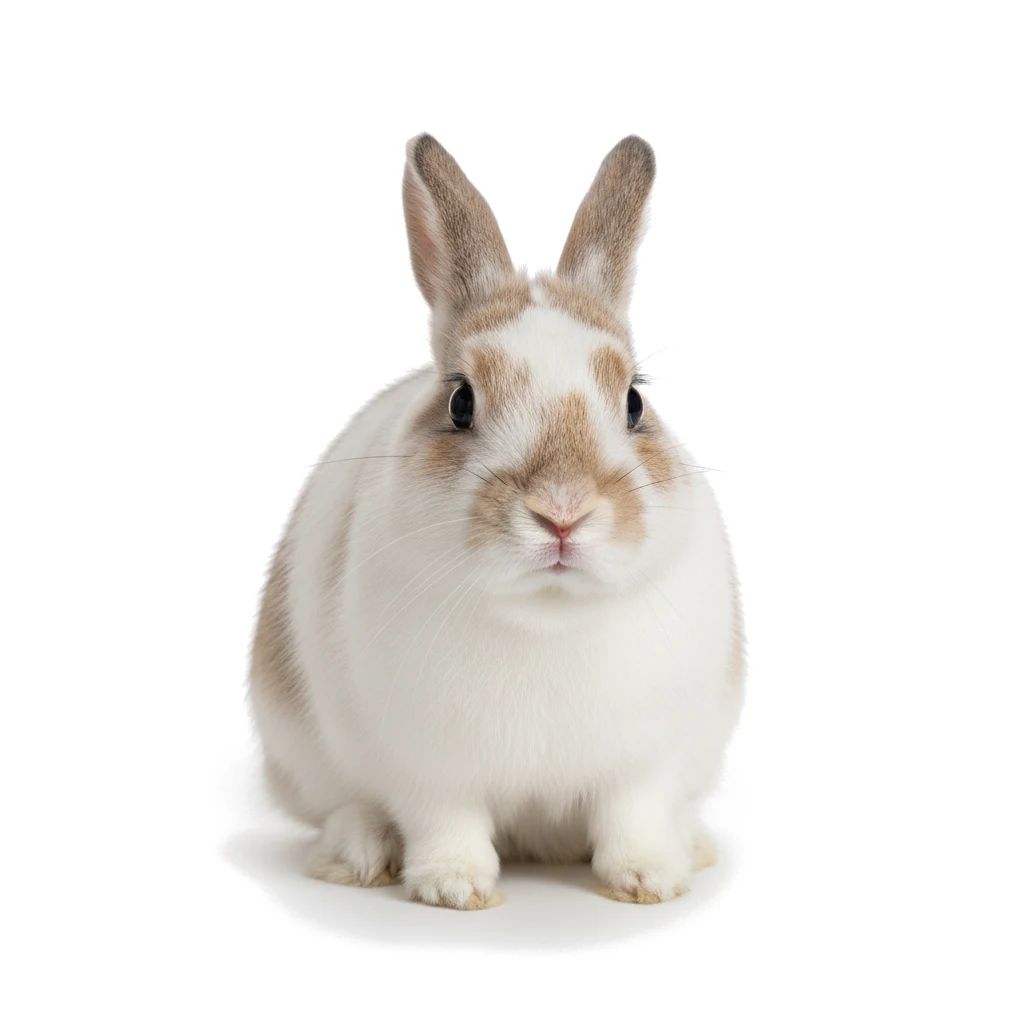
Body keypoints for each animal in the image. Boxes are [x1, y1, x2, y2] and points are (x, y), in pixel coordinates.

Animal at [248, 133, 745, 910]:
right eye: (460, 401)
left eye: (634, 402)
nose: (563, 511)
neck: (547, 617)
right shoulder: (428, 764)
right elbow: (444, 821)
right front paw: (453, 888)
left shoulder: (646, 762)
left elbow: (633, 816)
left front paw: (648, 879)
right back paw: (360, 855)